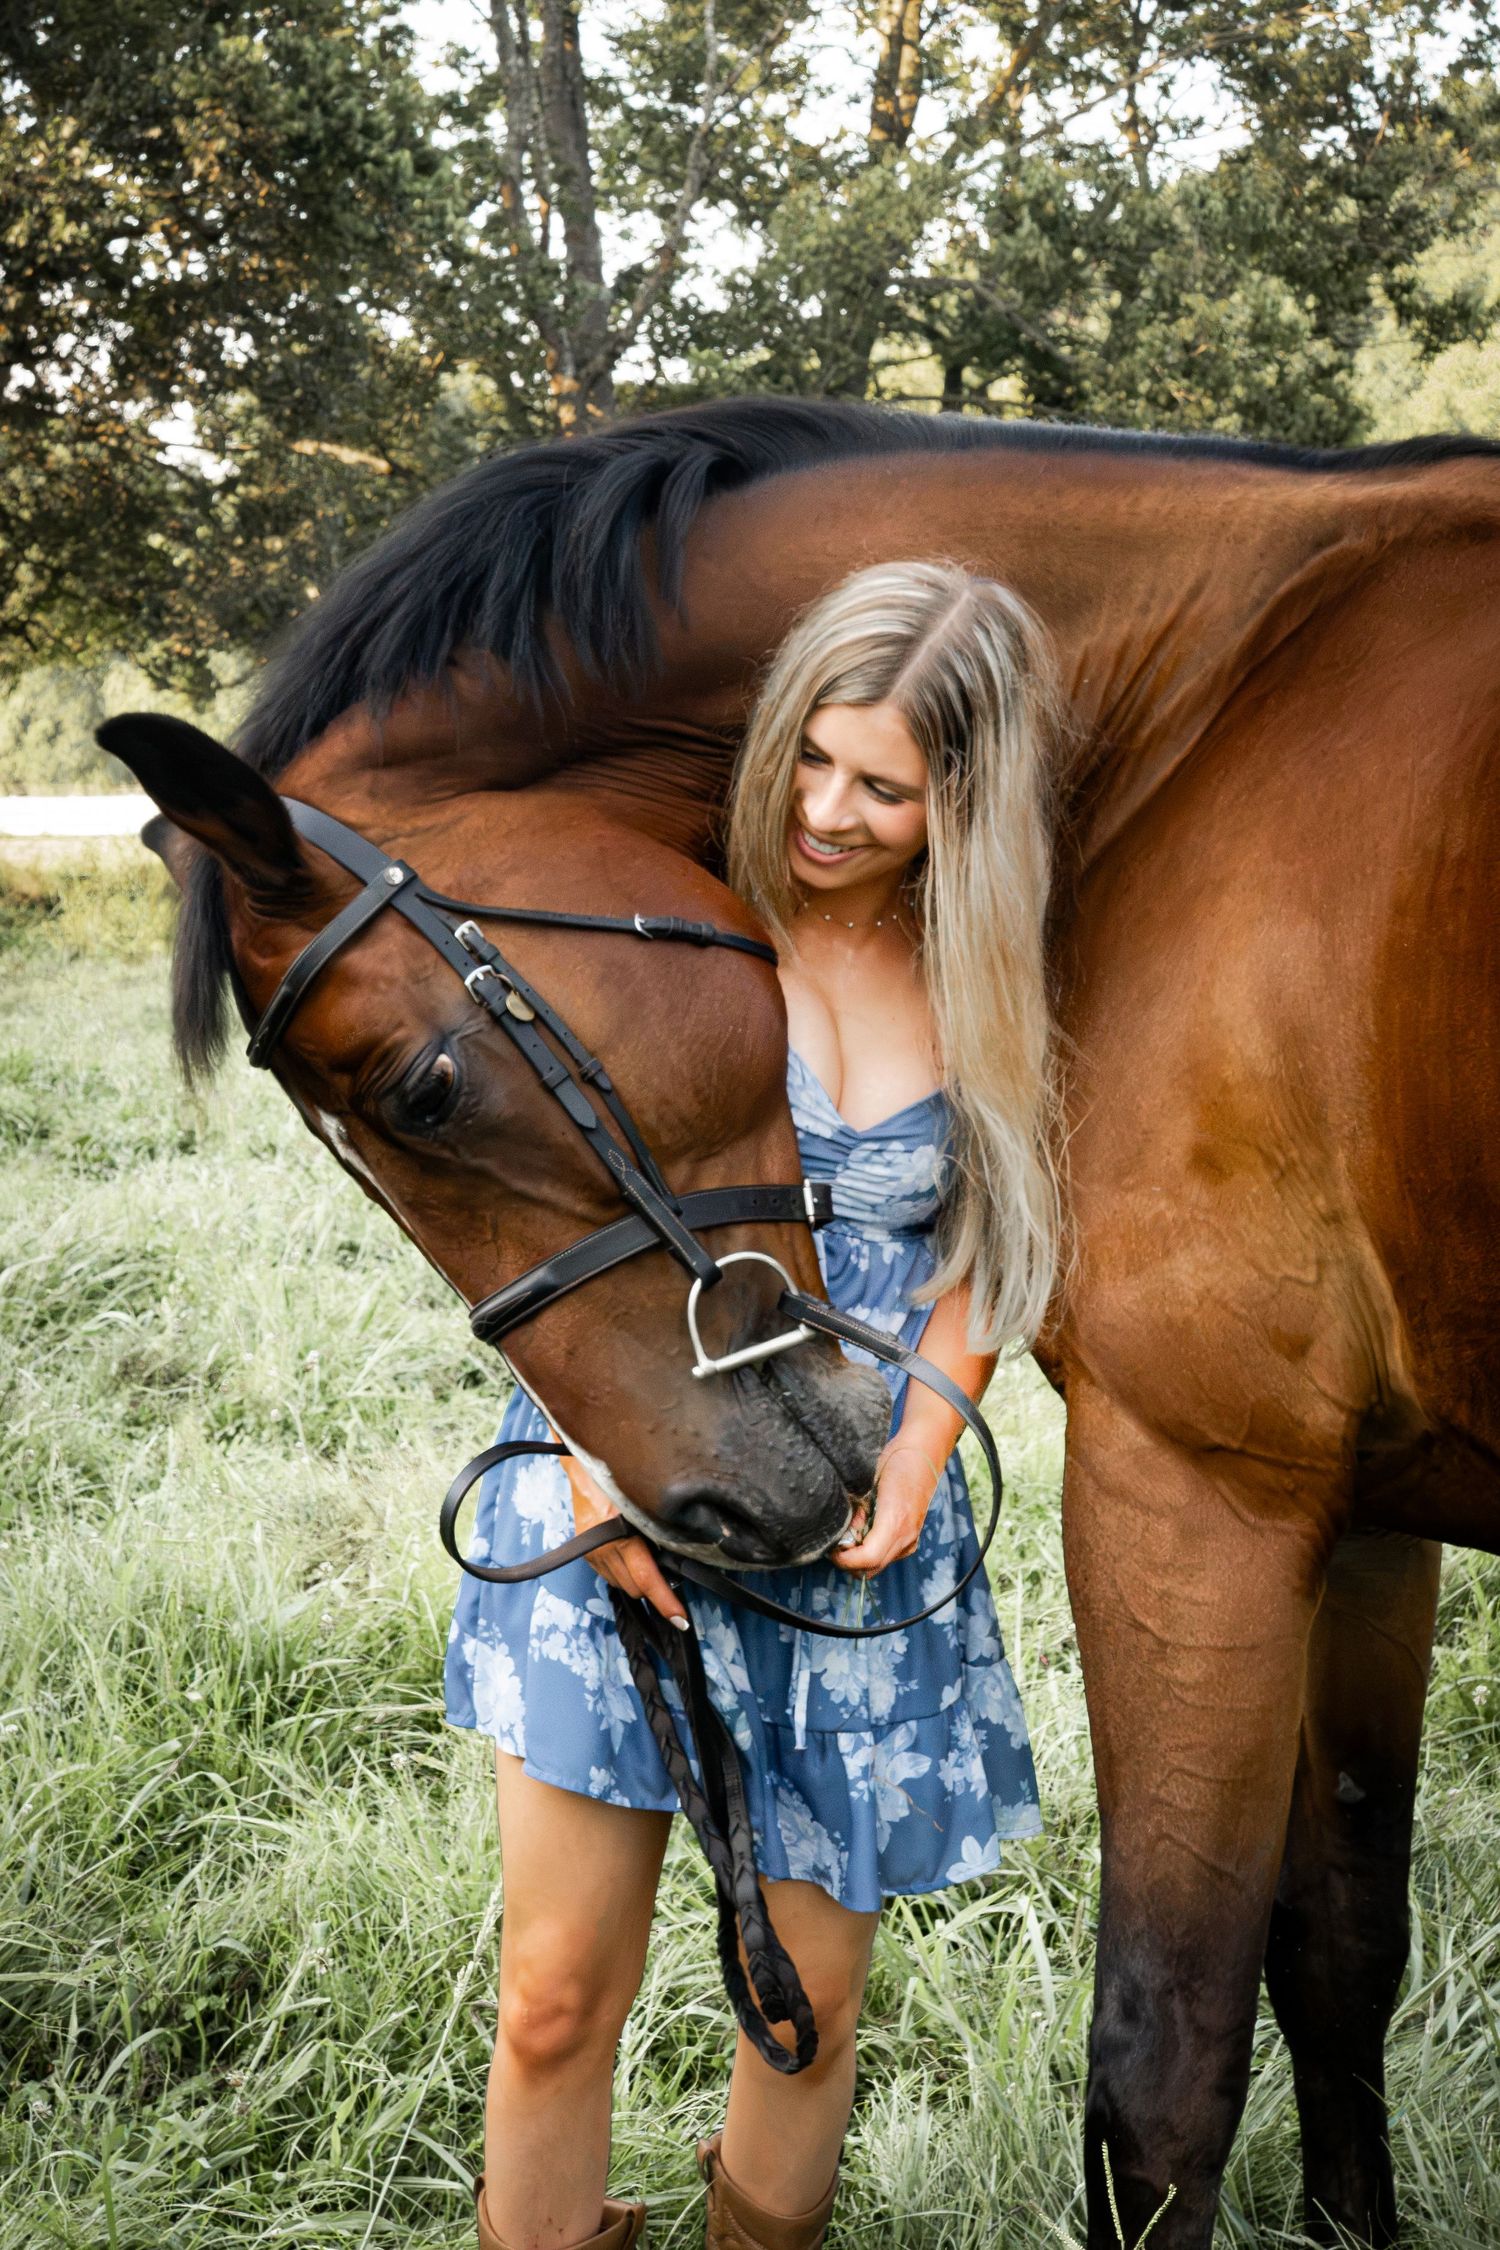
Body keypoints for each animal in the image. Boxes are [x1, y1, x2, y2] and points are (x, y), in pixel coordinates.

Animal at [105, 398, 1500, 2249]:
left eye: (421, 1090)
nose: (708, 1510)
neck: (1207, 708)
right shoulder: (1361, 1513)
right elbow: (1340, 1948)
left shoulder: (1200, 1485)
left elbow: (1162, 2071)